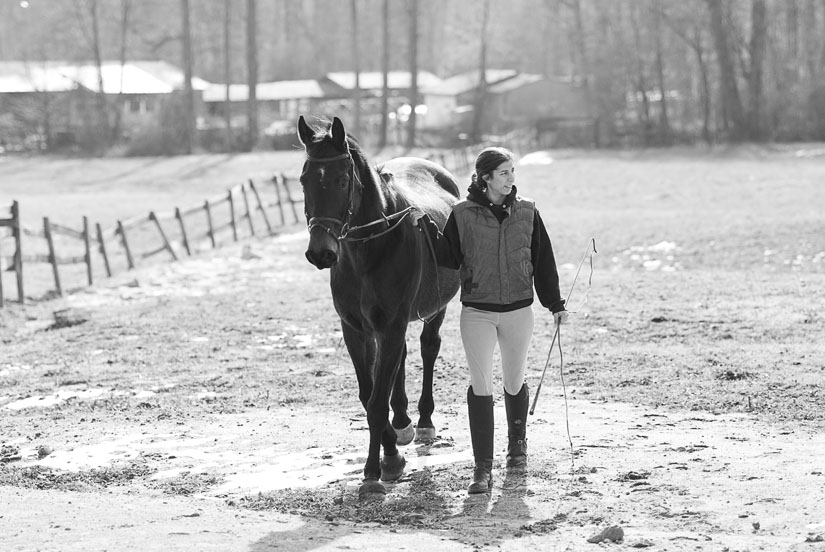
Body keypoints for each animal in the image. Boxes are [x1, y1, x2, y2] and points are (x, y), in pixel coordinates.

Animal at [298, 115, 464, 496]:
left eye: (343, 180)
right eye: (303, 180)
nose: (320, 252)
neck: (369, 250)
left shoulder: (390, 325)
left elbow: (376, 402)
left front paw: (378, 468)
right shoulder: (356, 330)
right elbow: (369, 394)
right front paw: (390, 451)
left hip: (434, 310)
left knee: (428, 347)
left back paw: (423, 421)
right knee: (399, 361)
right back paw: (402, 421)